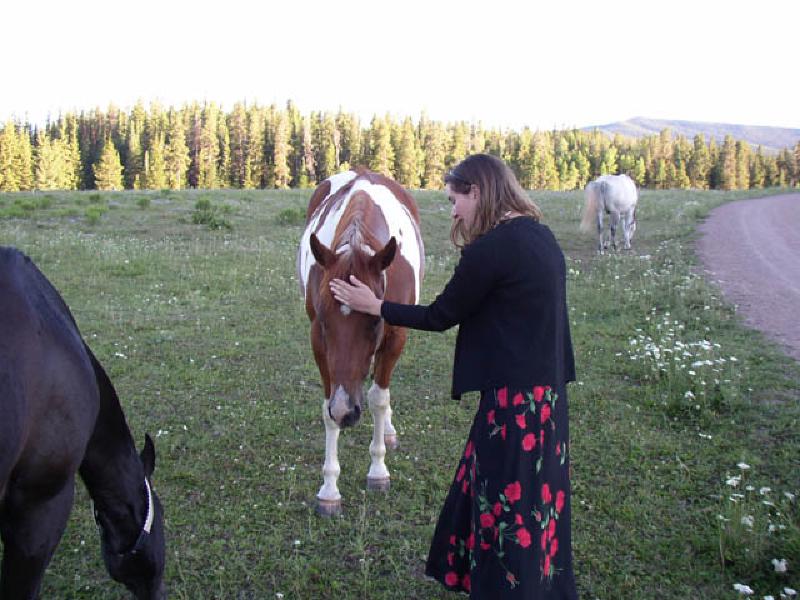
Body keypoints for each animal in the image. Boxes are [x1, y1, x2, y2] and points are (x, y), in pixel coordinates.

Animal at [297, 169, 424, 516]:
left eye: (375, 320)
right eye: (324, 321)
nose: (346, 412)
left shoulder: (395, 338)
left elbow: (378, 399)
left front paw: (378, 471)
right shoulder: (318, 343)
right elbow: (327, 408)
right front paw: (329, 489)